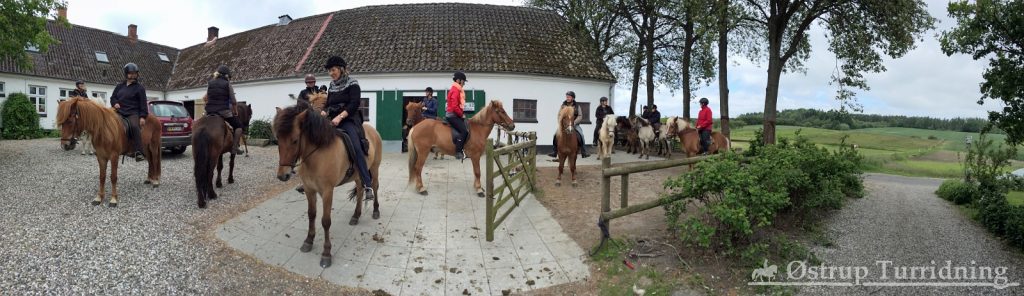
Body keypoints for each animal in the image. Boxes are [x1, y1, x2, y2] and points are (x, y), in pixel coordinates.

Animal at [272, 100, 385, 266]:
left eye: (295, 140)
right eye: (278, 140)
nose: (283, 175)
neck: (317, 155)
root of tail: (372, 130)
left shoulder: (327, 192)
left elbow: (325, 221)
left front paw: (326, 253)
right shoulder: (309, 190)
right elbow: (311, 215)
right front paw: (308, 241)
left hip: (375, 168)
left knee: (374, 187)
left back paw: (376, 210)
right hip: (358, 175)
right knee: (359, 190)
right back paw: (356, 216)